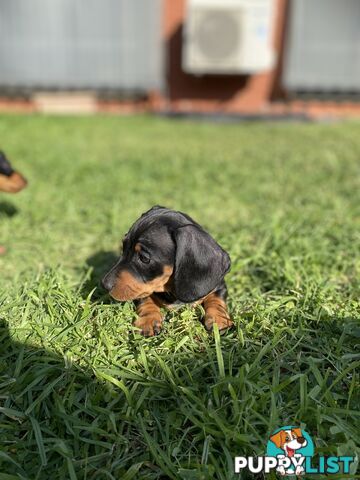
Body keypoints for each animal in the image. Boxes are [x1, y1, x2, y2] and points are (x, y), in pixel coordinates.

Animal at [102, 206, 235, 338]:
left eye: (144, 258)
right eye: (123, 247)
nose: (104, 284)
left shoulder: (218, 285)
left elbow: (216, 298)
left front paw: (219, 319)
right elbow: (145, 297)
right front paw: (148, 319)